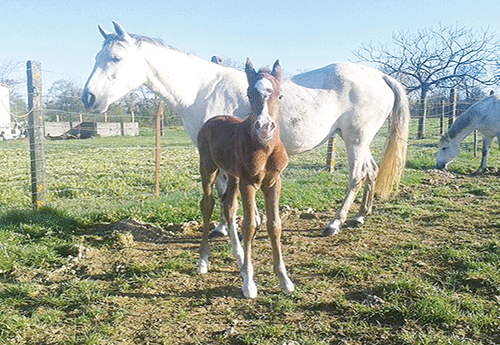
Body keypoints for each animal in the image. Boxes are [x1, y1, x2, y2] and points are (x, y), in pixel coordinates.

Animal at [83, 22, 410, 236]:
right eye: (96, 57)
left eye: (116, 58)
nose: (89, 98)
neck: (202, 89)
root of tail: (380, 76)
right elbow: (224, 188)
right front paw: (236, 225)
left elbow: (225, 189)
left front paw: (223, 228)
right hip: (357, 140)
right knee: (371, 171)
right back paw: (361, 216)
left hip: (356, 139)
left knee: (356, 175)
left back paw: (335, 223)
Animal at [195, 57, 292, 296]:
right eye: (249, 94)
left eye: (280, 95)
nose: (264, 127)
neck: (265, 149)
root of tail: (213, 118)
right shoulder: (249, 182)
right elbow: (248, 226)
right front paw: (249, 283)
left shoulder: (274, 182)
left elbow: (274, 225)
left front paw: (284, 280)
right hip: (208, 168)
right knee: (207, 204)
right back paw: (203, 261)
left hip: (233, 176)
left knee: (229, 206)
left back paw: (238, 257)